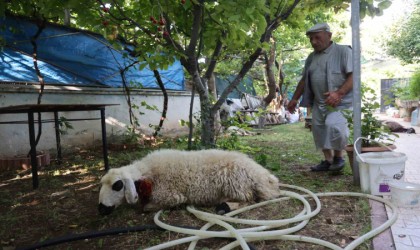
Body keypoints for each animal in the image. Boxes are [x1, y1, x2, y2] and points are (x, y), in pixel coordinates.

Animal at [98, 148, 280, 215]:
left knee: (250, 199)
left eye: (117, 185)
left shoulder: (171, 196)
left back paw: (224, 206)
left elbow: (149, 207)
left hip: (235, 184)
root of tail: (265, 177)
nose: (101, 209)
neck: (148, 173)